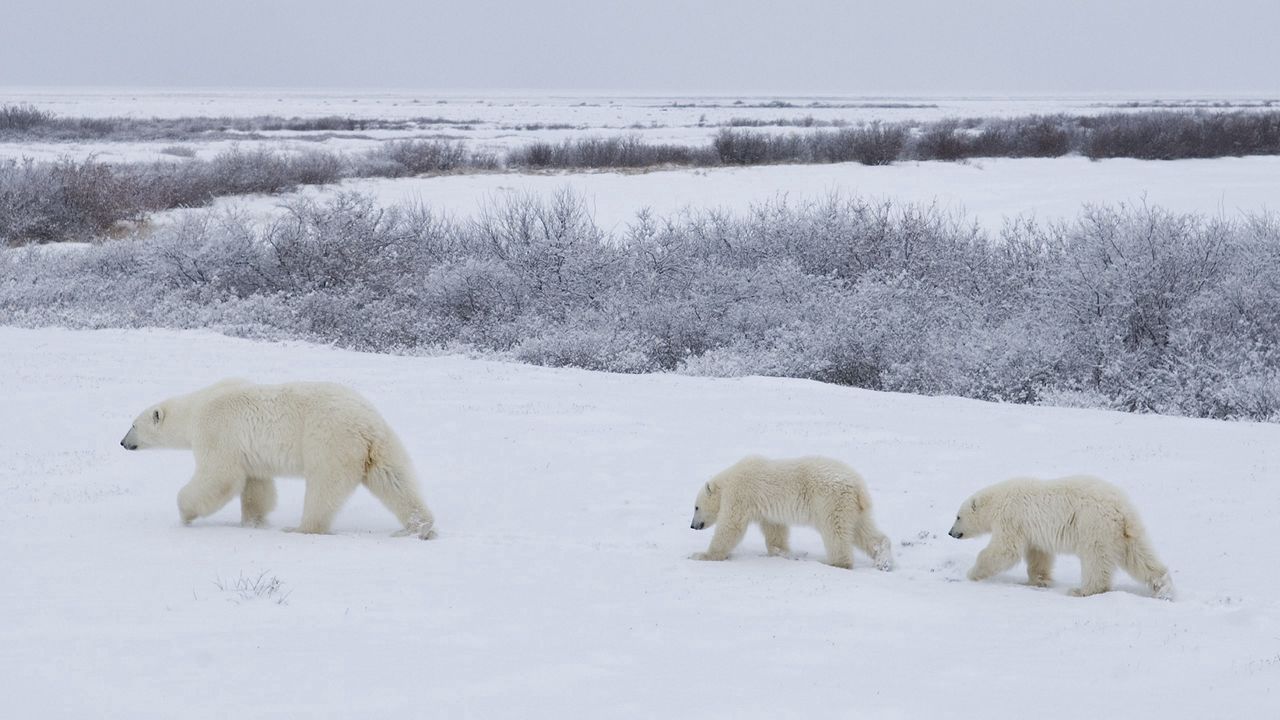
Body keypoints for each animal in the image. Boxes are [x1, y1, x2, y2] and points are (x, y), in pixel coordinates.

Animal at [122, 376, 437, 538]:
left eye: (133, 424)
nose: (123, 442)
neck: (196, 407)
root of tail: (366, 424)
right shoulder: (249, 452)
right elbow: (256, 486)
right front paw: (253, 521)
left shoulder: (217, 431)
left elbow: (219, 476)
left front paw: (185, 514)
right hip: (380, 445)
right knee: (395, 480)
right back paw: (418, 526)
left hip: (329, 440)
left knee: (324, 487)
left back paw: (301, 527)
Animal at [691, 453, 890, 566]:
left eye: (696, 507)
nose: (693, 526)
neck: (729, 479)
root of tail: (858, 485)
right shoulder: (766, 510)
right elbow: (775, 530)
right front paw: (781, 553)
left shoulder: (740, 494)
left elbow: (730, 527)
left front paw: (702, 555)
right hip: (853, 508)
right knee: (864, 531)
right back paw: (883, 560)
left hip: (831, 501)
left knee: (836, 532)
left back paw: (835, 563)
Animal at [947, 474, 1172, 597]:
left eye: (958, 516)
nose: (950, 532)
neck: (998, 500)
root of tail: (1121, 509)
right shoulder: (1032, 530)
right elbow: (1039, 554)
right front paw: (1039, 580)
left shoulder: (1011, 518)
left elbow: (1004, 550)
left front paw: (972, 573)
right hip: (1124, 532)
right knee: (1139, 556)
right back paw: (1163, 587)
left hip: (1093, 524)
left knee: (1095, 559)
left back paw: (1082, 590)